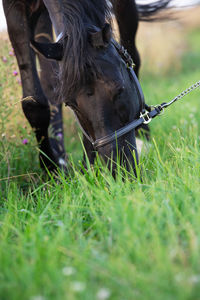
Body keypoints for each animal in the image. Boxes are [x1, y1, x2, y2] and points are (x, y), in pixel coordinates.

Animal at [2, 0, 172, 173]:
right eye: (71, 105)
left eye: (119, 89)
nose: (117, 168)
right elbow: (33, 103)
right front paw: (52, 168)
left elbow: (131, 53)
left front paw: (87, 166)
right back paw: (61, 159)